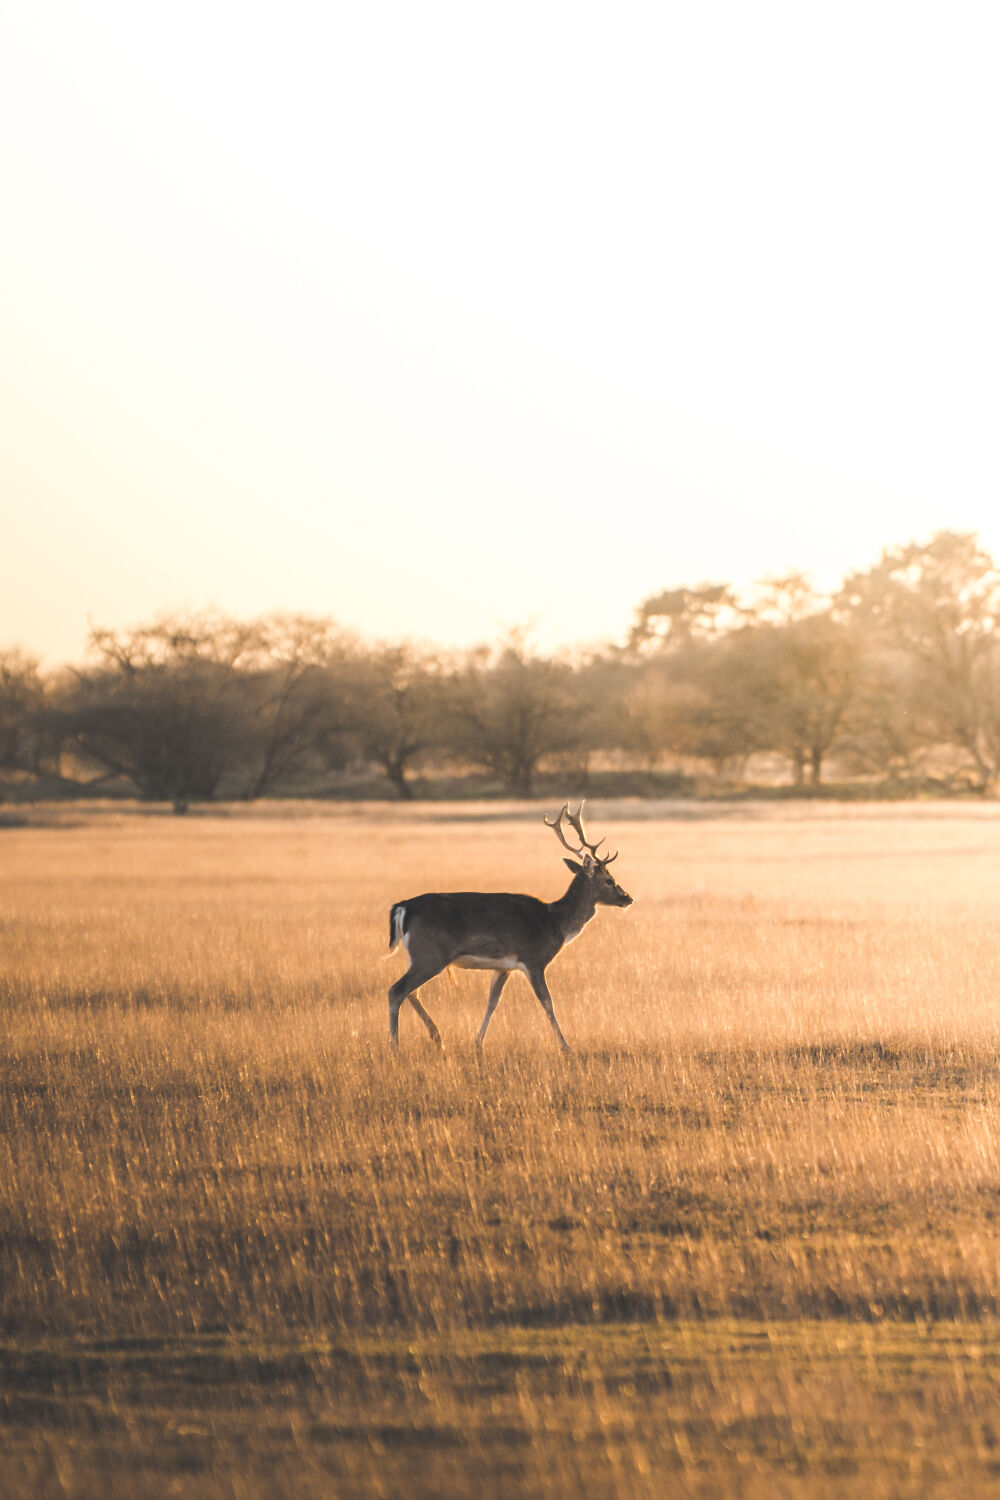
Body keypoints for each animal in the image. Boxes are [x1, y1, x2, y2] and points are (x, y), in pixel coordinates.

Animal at [386, 798, 629, 1056]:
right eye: (609, 880)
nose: (628, 898)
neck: (555, 922)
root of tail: (402, 907)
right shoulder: (533, 960)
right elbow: (547, 1002)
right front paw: (567, 1047)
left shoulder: (504, 967)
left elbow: (493, 1001)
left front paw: (478, 1043)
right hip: (430, 955)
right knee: (397, 990)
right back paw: (395, 1047)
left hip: (418, 956)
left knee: (412, 992)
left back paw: (437, 1038)